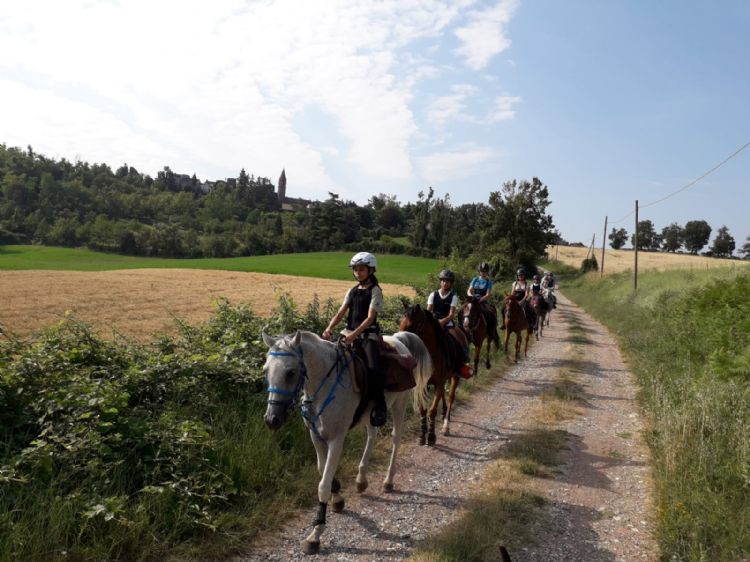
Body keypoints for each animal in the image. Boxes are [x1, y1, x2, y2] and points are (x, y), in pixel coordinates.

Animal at [262, 328, 428, 552]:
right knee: (372, 435)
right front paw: (338, 495)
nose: (272, 419)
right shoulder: (316, 436)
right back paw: (361, 479)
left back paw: (388, 480)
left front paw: (316, 533)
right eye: (266, 370)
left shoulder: (336, 440)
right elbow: (322, 469)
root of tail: (397, 340)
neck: (324, 385)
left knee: (396, 438)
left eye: (290, 372)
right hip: (371, 414)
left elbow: (322, 485)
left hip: (399, 405)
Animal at [400, 304, 464, 444]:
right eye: (400, 323)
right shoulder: (422, 384)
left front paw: (431, 436)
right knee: (444, 395)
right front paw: (422, 435)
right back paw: (444, 413)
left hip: (455, 377)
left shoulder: (438, 383)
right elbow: (422, 410)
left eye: (413, 325)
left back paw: (446, 426)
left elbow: (432, 410)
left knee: (450, 397)